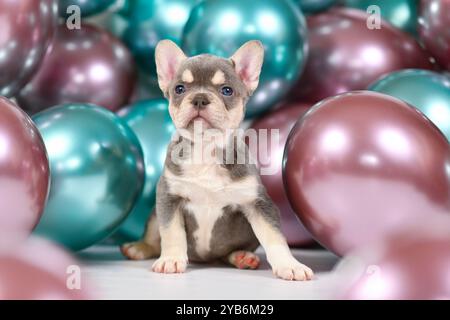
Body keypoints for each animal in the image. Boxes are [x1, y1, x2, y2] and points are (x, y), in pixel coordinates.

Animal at [121, 39, 314, 280]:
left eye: (227, 90)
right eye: (180, 89)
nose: (200, 98)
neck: (207, 149)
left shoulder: (258, 203)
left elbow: (274, 236)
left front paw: (290, 264)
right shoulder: (169, 196)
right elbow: (172, 232)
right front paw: (171, 259)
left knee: (228, 254)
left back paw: (242, 257)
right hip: (155, 212)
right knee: (154, 236)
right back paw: (140, 248)